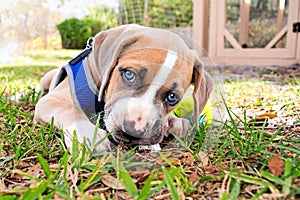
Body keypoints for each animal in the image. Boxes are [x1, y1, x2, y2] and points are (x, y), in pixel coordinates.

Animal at [34, 25, 213, 153]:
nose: (135, 131)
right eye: (129, 74)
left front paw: (172, 123)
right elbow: (70, 110)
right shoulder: (50, 100)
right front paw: (87, 134)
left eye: (172, 97)